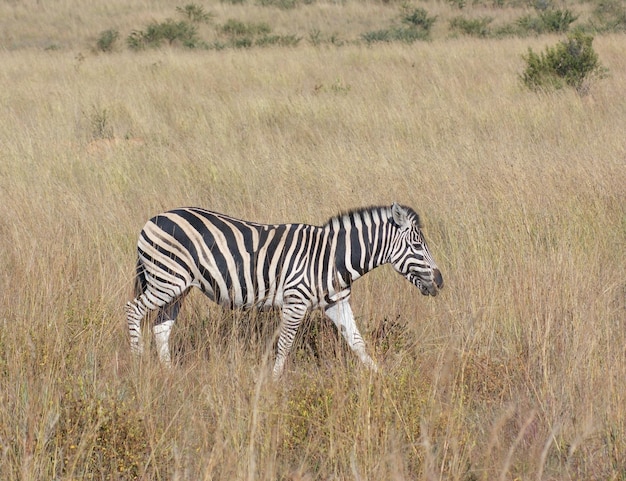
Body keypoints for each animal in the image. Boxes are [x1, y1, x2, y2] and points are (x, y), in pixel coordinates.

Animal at [124, 201, 442, 376]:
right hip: (166, 280)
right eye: (417, 246)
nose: (440, 281)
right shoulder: (295, 301)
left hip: (178, 287)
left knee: (161, 327)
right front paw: (275, 383)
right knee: (133, 310)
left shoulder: (336, 302)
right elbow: (285, 345)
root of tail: (152, 220)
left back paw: (168, 373)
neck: (332, 257)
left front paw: (380, 380)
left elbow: (357, 342)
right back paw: (138, 362)